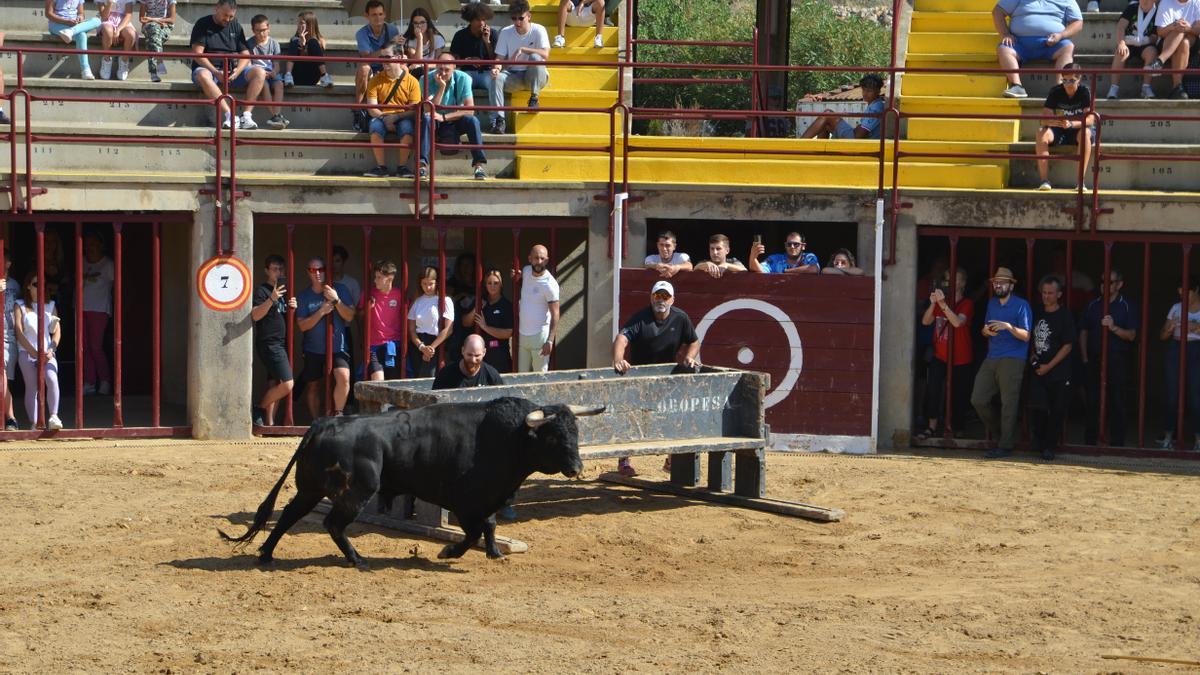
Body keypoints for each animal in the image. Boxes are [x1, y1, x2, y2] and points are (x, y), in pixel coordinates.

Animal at [220, 393, 604, 562]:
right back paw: (356, 558)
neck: (508, 437)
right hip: (356, 491)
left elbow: (491, 525)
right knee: (332, 524)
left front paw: (495, 553)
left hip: (312, 488)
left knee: (288, 514)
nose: (577, 468)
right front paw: (449, 551)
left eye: (576, 431)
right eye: (554, 436)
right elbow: (474, 530)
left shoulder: (487, 498)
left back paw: (266, 554)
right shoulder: (465, 502)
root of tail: (324, 422)